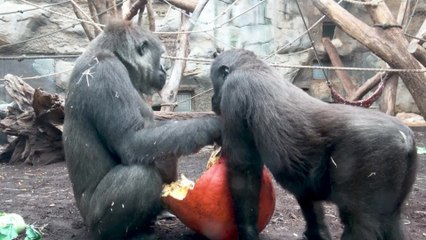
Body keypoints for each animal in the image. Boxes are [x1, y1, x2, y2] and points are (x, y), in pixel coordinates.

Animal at [63, 20, 220, 240]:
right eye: (160, 56)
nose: (163, 68)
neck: (112, 52)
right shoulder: (105, 72)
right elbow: (133, 141)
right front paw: (211, 126)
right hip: (91, 220)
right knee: (139, 176)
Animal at [211, 49, 418, 240]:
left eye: (215, 85)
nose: (213, 100)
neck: (251, 65)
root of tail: (405, 138)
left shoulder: (234, 90)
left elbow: (243, 168)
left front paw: (247, 231)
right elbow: (308, 199)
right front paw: (317, 232)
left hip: (374, 153)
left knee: (360, 223)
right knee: (391, 220)